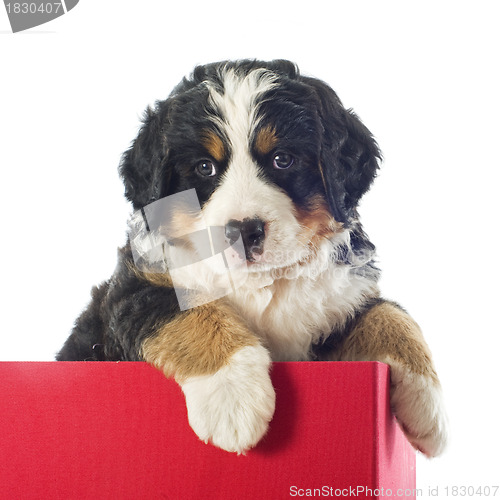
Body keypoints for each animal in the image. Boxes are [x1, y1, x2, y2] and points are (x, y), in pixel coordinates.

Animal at [56, 58, 448, 458]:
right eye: (204, 167)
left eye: (282, 159)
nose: (243, 231)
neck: (263, 280)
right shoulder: (133, 288)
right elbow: (192, 313)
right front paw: (232, 398)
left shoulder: (346, 296)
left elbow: (390, 314)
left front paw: (429, 406)